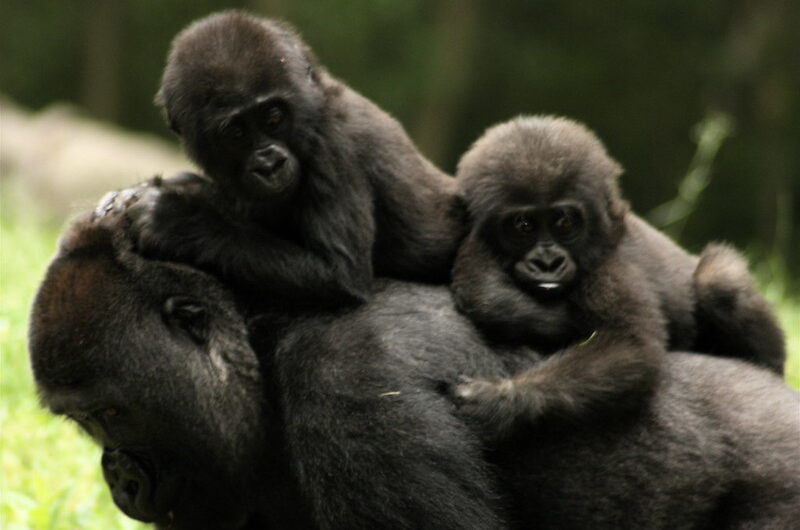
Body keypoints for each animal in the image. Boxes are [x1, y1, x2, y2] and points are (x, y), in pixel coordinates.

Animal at [125, 9, 462, 310]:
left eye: (273, 118)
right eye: (235, 134)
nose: (269, 164)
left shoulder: (334, 144)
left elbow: (339, 274)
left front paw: (179, 222)